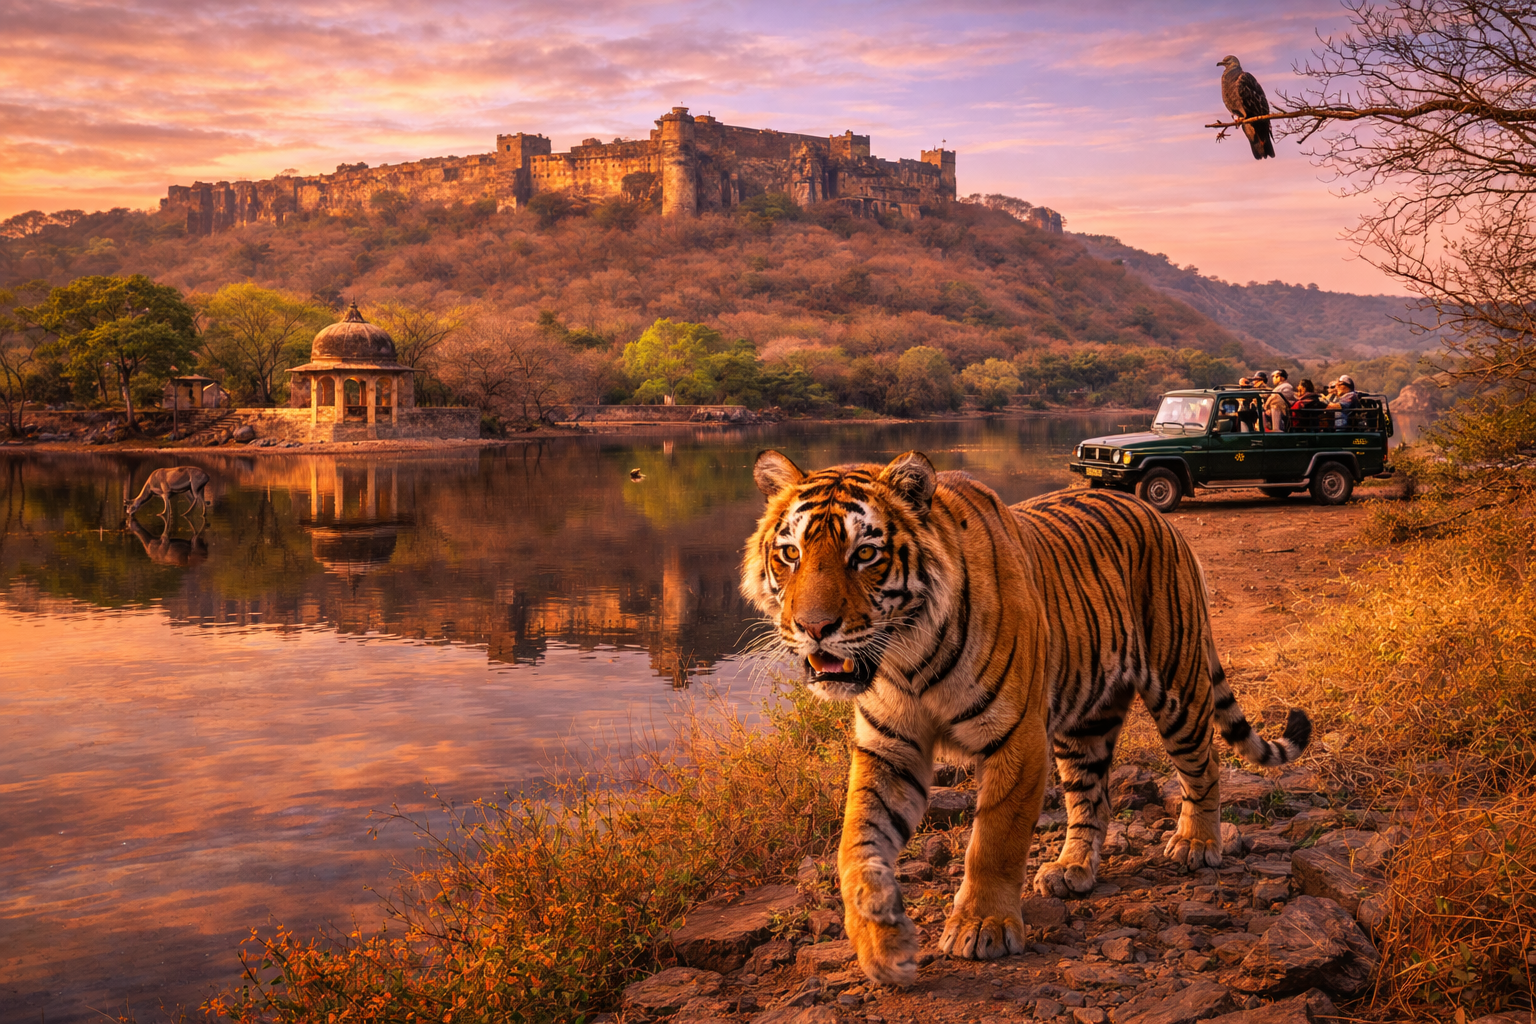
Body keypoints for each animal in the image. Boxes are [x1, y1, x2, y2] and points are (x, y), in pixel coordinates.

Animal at [740, 449, 1311, 987]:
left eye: (864, 554)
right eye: (790, 553)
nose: (813, 628)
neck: (906, 656)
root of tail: (1155, 513)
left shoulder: (1016, 736)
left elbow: (994, 840)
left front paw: (982, 927)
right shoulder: (889, 748)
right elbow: (857, 844)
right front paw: (882, 943)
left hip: (1179, 687)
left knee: (1203, 768)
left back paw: (1197, 843)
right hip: (1085, 726)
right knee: (1092, 798)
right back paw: (1072, 868)